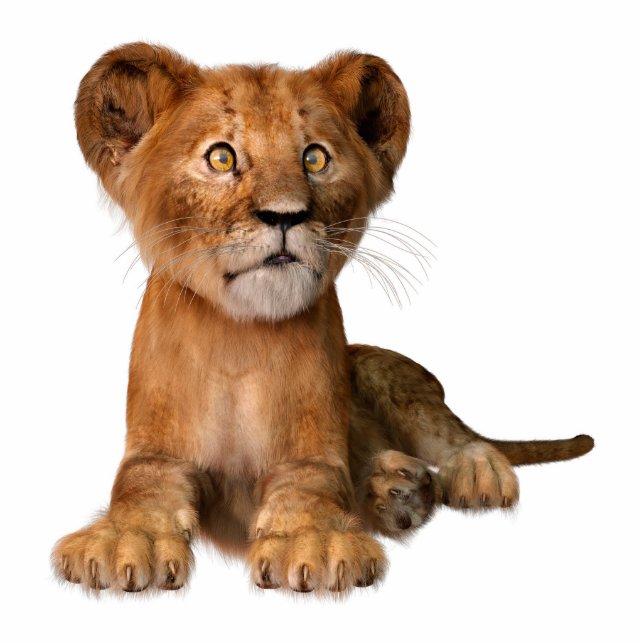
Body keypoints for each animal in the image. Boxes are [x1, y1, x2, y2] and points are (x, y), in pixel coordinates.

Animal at [52, 43, 594, 594]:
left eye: (314, 158)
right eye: (222, 156)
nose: (285, 215)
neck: (240, 340)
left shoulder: (313, 453)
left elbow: (308, 489)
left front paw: (312, 544)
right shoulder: (156, 453)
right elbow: (141, 488)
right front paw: (127, 541)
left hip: (393, 379)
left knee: (460, 436)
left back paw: (467, 477)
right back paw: (398, 491)